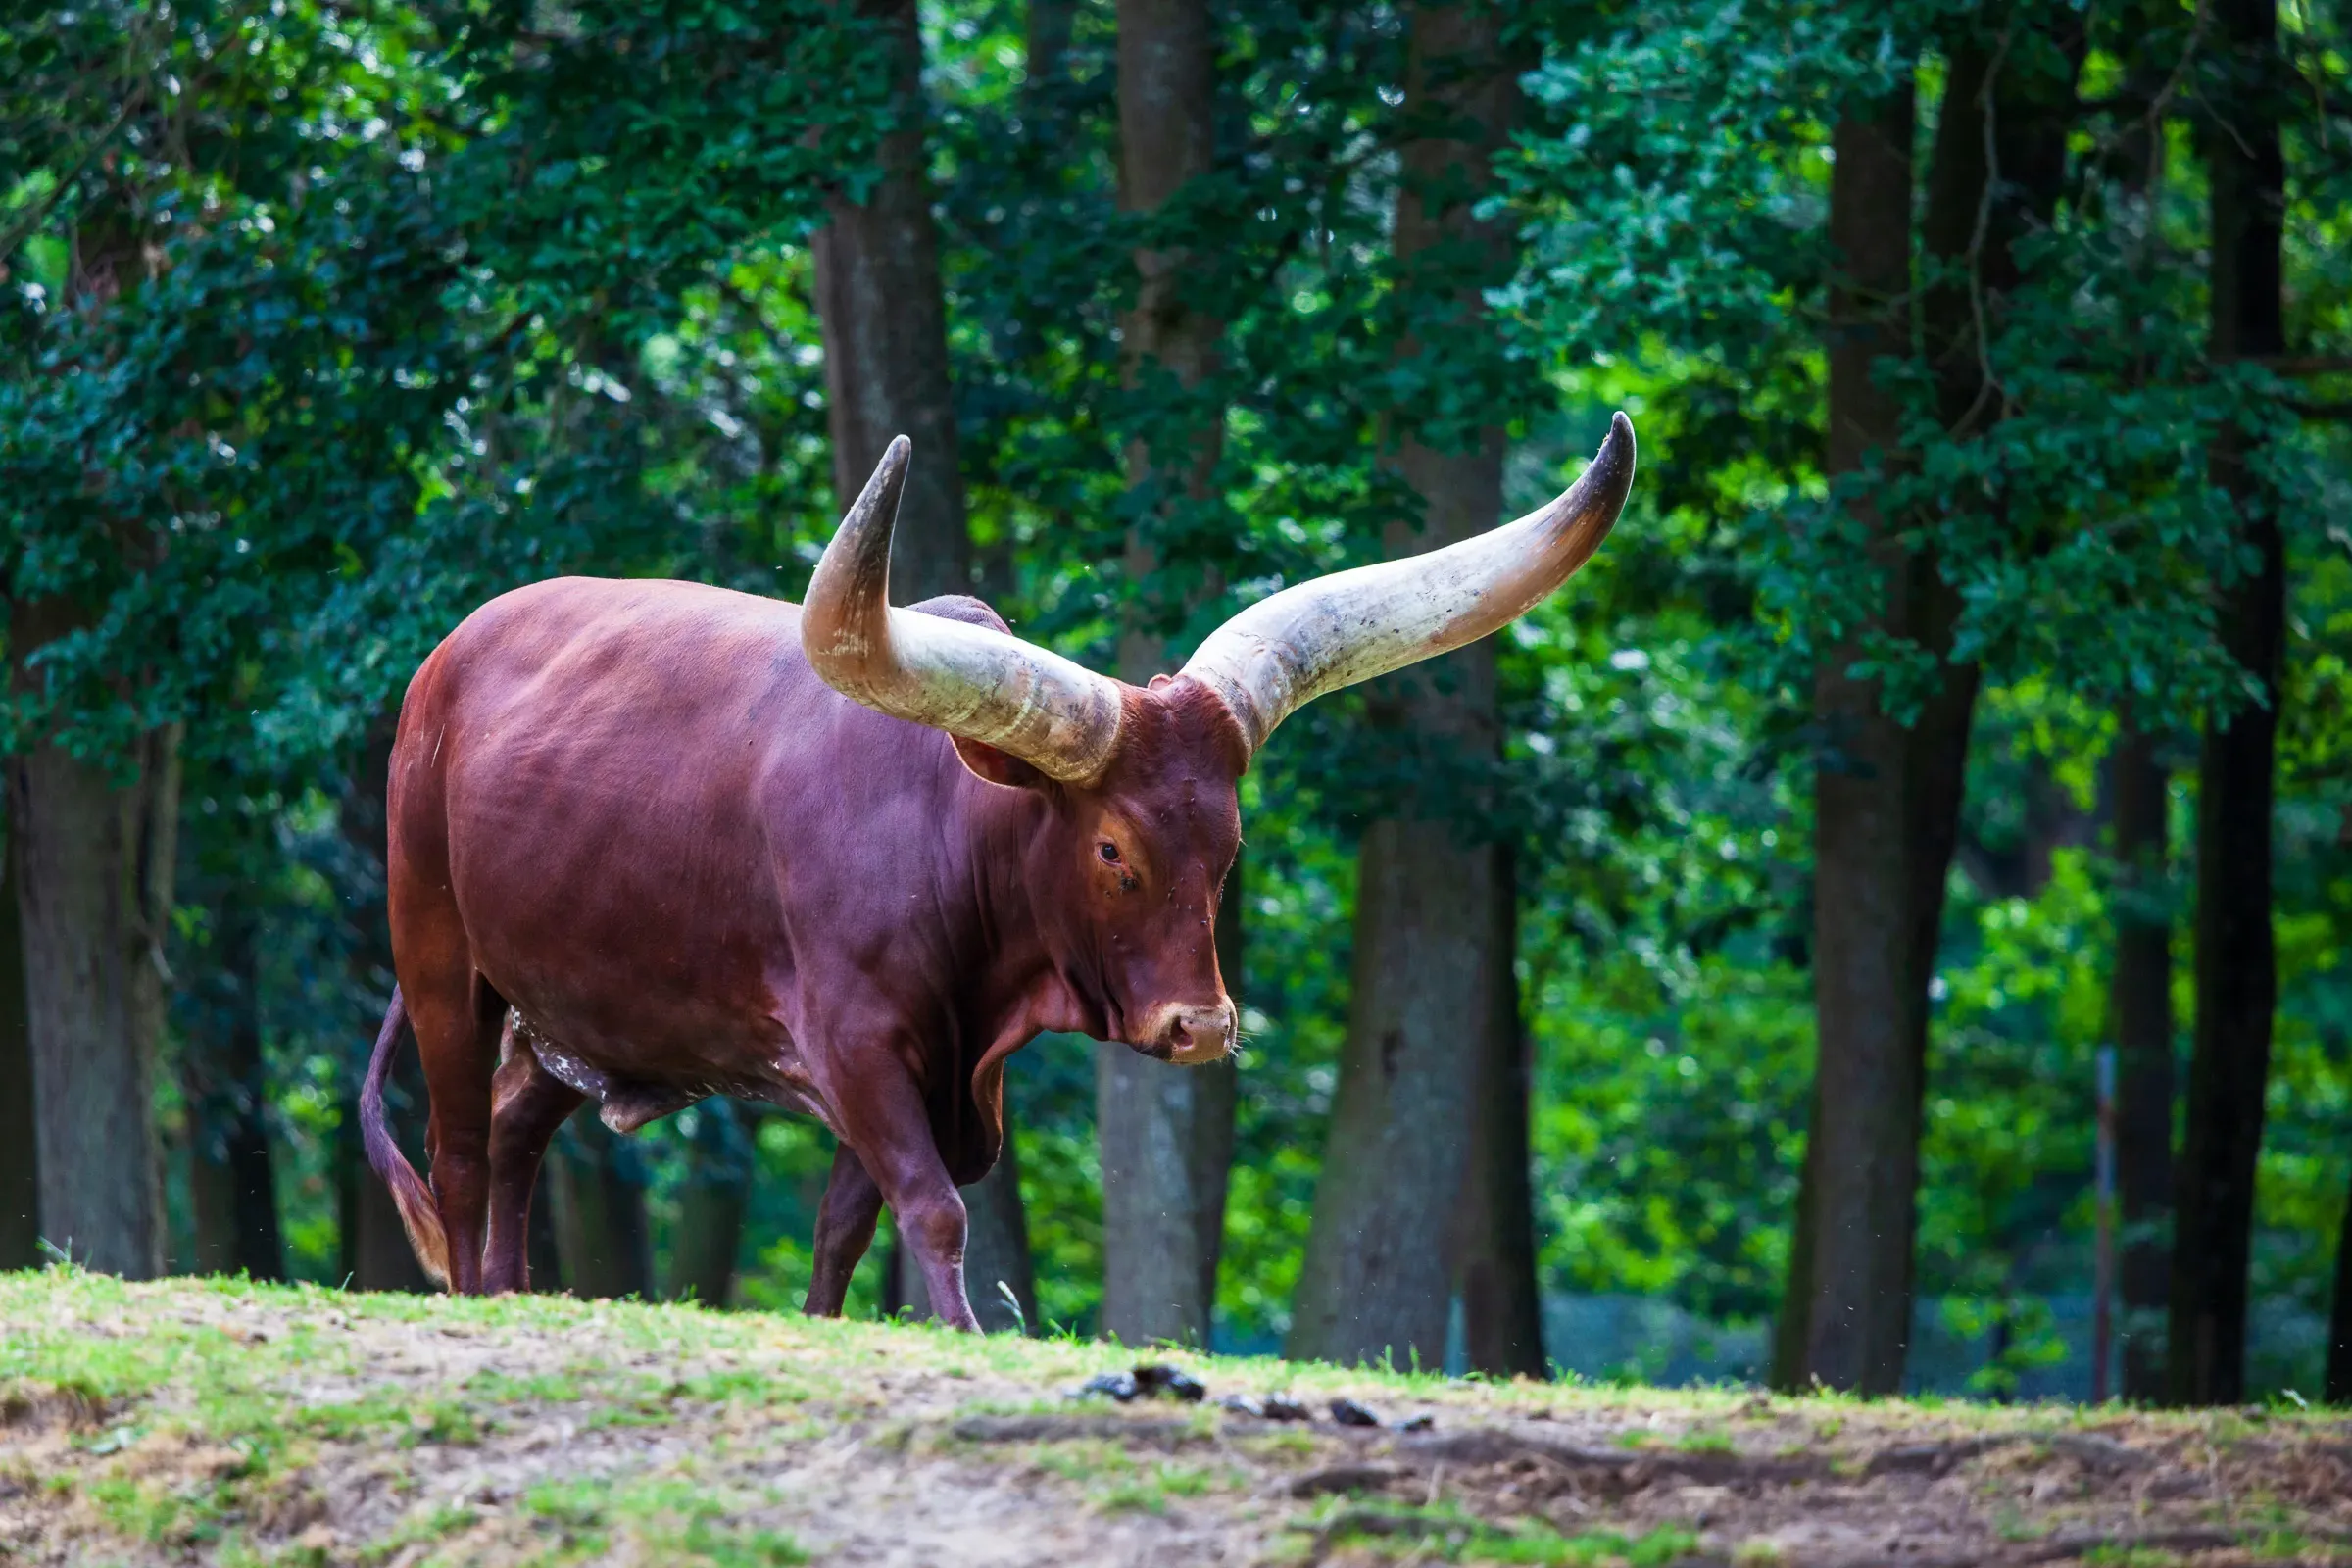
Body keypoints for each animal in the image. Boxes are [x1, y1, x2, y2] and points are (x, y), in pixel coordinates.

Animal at [361, 415, 1635, 1326]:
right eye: (1113, 846)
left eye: (1229, 842)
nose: (1203, 1026)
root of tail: (447, 657)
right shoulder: (857, 1042)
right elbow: (930, 1209)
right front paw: (966, 1333)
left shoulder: (931, 1067)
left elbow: (847, 1224)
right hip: (441, 958)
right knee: (460, 1150)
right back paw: (474, 1294)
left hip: (575, 1008)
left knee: (517, 1130)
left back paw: (514, 1290)